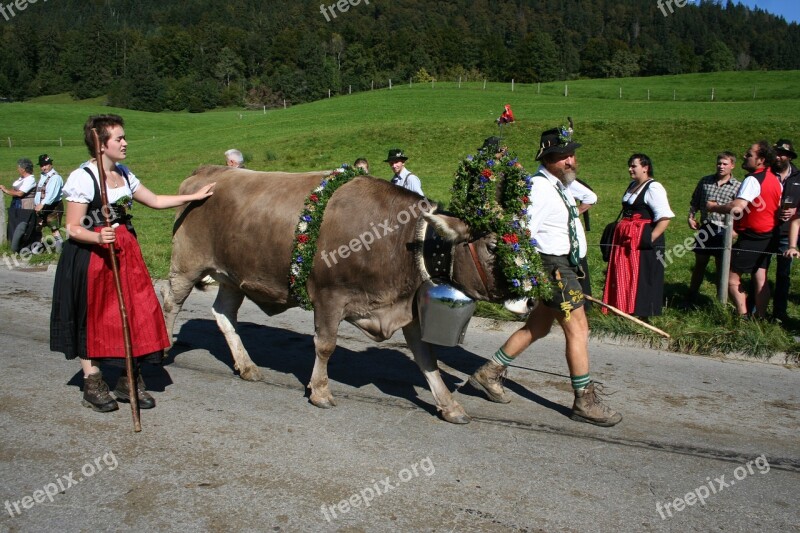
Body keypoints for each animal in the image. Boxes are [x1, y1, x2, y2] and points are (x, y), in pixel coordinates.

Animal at [164, 164, 506, 422]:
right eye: (492, 246)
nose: (520, 290)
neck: (397, 240)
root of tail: (209, 170)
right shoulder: (329, 296)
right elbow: (326, 345)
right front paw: (320, 391)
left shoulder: (407, 309)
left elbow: (427, 358)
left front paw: (450, 405)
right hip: (186, 264)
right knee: (171, 303)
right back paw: (165, 349)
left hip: (233, 277)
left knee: (223, 313)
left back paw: (247, 366)